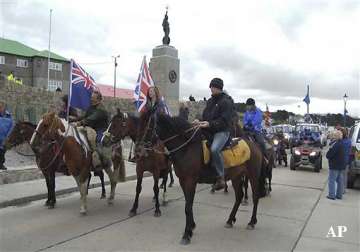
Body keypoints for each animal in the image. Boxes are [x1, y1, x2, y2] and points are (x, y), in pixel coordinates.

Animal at [146, 113, 264, 244]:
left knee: (255, 196)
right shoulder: (183, 181)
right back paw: (230, 220)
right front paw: (191, 227)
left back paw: (252, 222)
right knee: (239, 196)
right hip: (236, 177)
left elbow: (188, 207)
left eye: (148, 125)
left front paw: (186, 234)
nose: (141, 148)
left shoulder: (190, 181)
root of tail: (255, 146)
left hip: (253, 175)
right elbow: (188, 205)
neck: (187, 148)